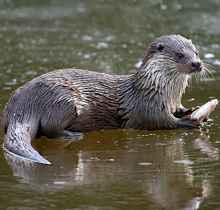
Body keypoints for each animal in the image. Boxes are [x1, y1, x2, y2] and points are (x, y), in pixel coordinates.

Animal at [2, 35, 206, 165]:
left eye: (196, 52)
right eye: (179, 55)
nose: (197, 63)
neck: (161, 91)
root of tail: (21, 105)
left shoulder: (172, 102)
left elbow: (178, 110)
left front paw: (191, 111)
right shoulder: (145, 107)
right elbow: (159, 121)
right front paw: (187, 123)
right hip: (63, 97)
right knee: (51, 128)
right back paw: (73, 135)